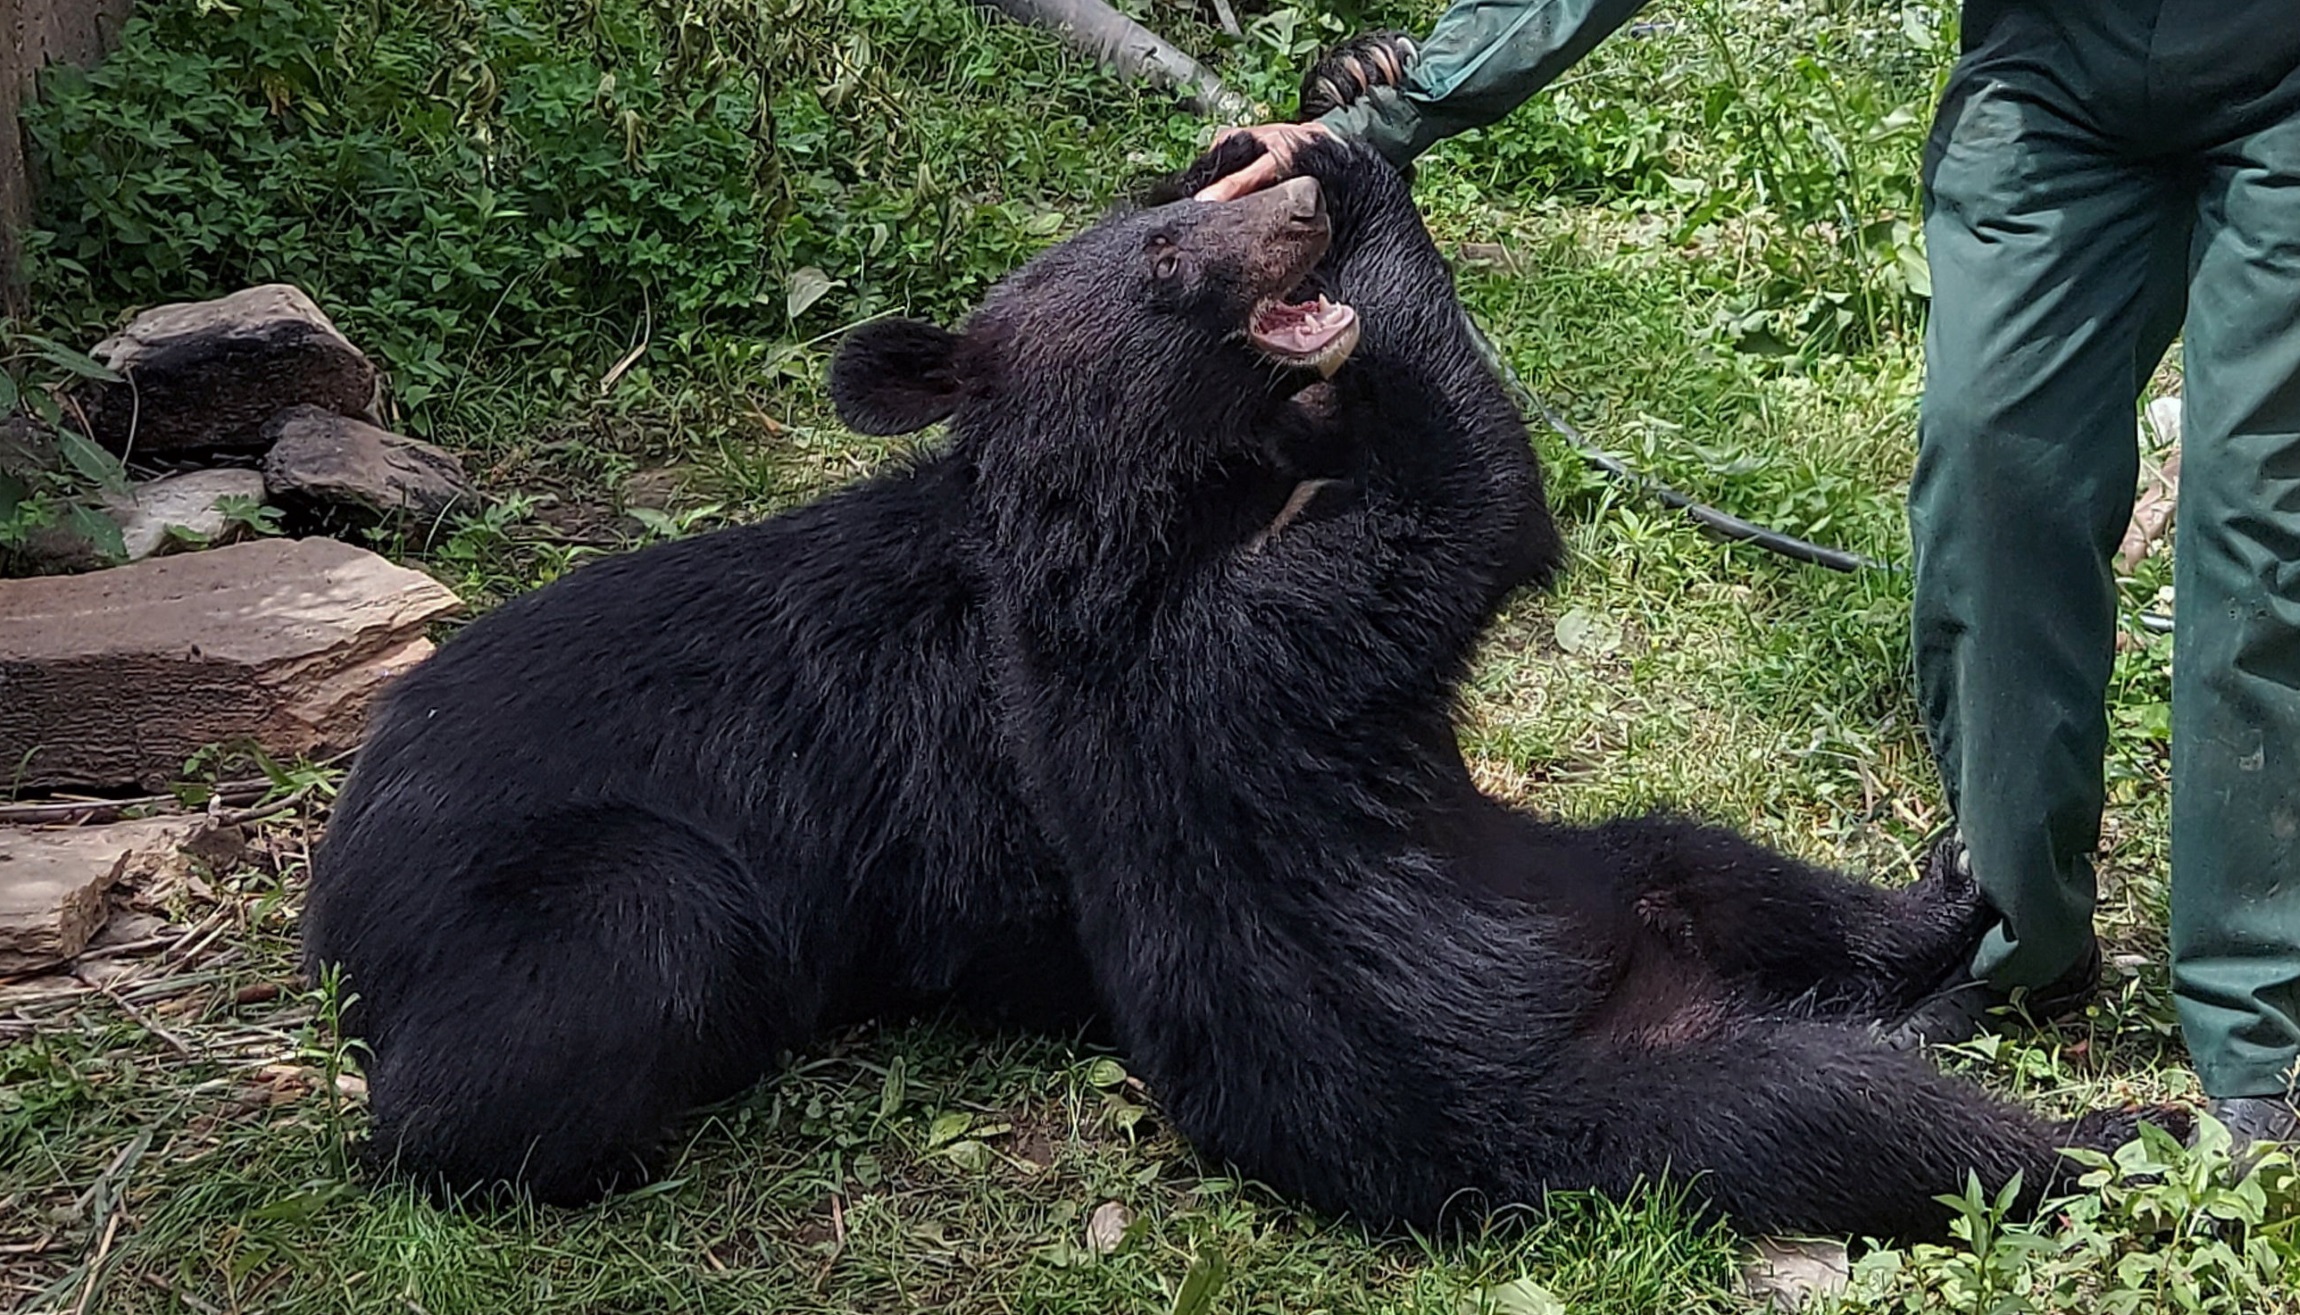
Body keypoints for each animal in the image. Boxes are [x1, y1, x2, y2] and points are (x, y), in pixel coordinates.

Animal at [841, 133, 2152, 1241]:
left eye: (1167, 215)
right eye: (1166, 258)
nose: (1296, 208)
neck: (1168, 510)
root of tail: (1682, 996)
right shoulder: (1253, 639)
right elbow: (1471, 506)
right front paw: (1352, 163)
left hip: (1597, 875)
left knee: (1742, 876)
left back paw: (1953, 910)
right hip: (1633, 1104)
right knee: (1863, 1116)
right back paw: (2121, 1131)